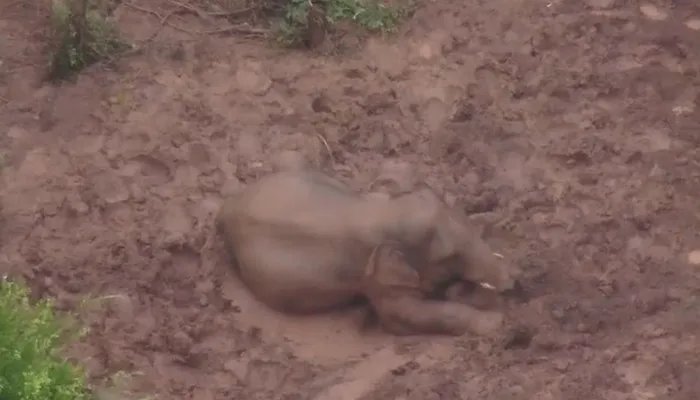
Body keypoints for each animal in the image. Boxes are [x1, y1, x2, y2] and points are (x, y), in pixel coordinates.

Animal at [216, 167, 520, 336]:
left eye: (460, 214)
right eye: (448, 257)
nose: (513, 285)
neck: (382, 215)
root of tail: (227, 207)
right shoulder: (379, 282)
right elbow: (406, 316)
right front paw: (496, 323)